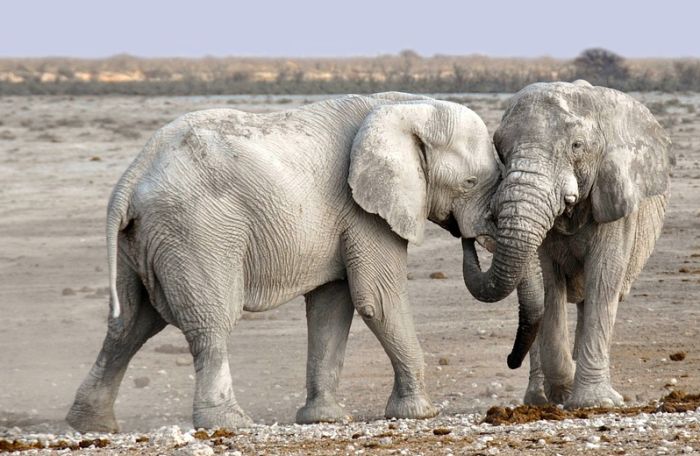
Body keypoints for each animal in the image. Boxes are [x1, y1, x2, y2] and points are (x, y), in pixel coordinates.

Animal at [67, 91, 536, 432]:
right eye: (471, 182)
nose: (469, 238)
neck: (406, 107)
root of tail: (132, 176)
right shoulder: (363, 211)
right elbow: (378, 299)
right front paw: (421, 413)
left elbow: (332, 307)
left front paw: (325, 419)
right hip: (196, 231)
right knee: (209, 322)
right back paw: (231, 423)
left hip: (142, 240)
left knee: (130, 325)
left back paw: (92, 426)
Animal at [460, 80, 672, 408]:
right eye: (500, 149)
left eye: (577, 146)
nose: (468, 237)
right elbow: (548, 284)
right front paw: (565, 390)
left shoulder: (616, 200)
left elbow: (604, 278)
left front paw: (594, 403)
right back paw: (539, 399)